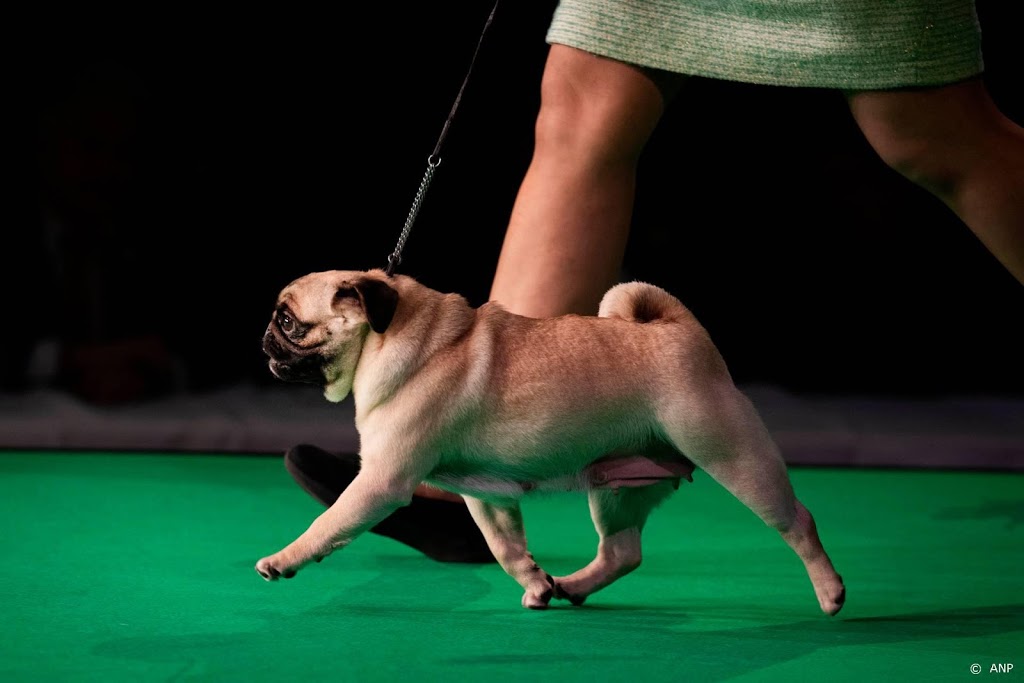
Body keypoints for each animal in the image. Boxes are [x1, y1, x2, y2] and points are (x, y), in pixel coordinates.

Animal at [256, 268, 847, 614]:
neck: (396, 334)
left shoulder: (380, 482)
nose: (264, 338)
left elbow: (329, 523)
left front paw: (284, 558)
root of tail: (679, 330)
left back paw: (830, 592)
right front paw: (537, 582)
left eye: (289, 322)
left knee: (797, 521)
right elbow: (505, 546)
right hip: (617, 487)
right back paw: (573, 586)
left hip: (734, 455)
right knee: (622, 552)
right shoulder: (485, 494)